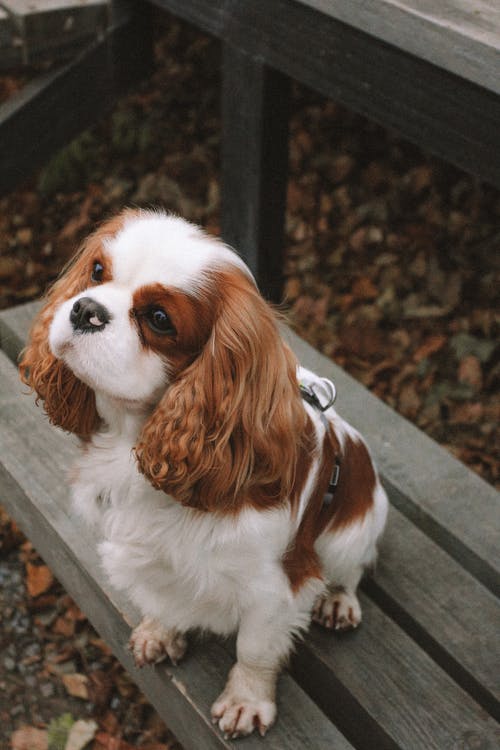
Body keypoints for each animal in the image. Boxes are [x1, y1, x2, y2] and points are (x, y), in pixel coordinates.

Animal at [19, 209, 388, 736]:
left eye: (159, 319)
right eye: (96, 272)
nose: (85, 309)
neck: (136, 441)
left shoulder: (274, 586)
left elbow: (255, 648)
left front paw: (247, 700)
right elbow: (161, 596)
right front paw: (161, 630)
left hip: (355, 530)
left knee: (352, 569)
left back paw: (338, 600)